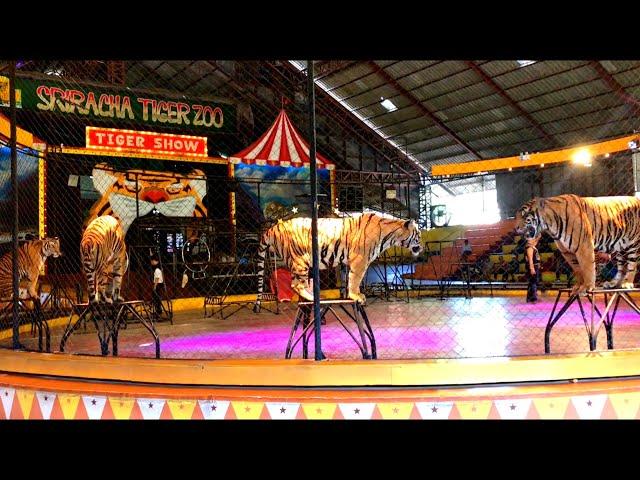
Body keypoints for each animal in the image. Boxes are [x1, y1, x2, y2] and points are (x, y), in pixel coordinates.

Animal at [252, 213, 422, 312]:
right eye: (418, 235)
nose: (421, 247)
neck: (390, 236)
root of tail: (273, 227)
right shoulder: (360, 260)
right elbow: (355, 279)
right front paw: (356, 296)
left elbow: (349, 279)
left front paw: (349, 295)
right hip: (300, 260)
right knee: (296, 284)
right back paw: (314, 299)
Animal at [512, 193, 640, 294]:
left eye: (524, 215)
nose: (515, 228)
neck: (550, 225)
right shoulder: (567, 251)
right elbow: (578, 269)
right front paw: (578, 286)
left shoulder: (584, 246)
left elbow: (588, 268)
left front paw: (587, 287)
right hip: (620, 247)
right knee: (622, 267)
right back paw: (614, 284)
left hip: (633, 245)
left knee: (632, 265)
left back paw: (627, 284)